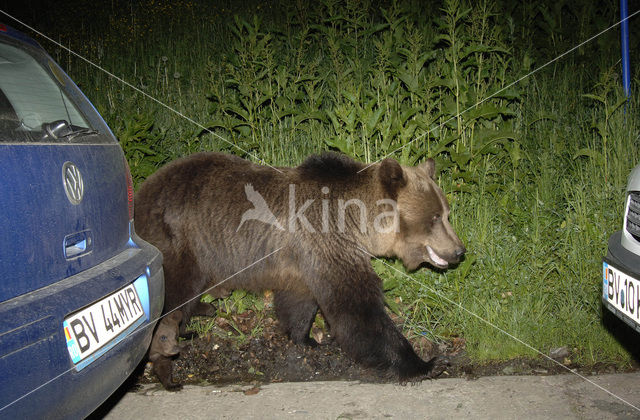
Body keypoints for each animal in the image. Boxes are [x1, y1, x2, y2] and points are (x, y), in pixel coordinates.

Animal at [135, 152, 464, 380]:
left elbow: (301, 301)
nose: (459, 251)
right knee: (175, 291)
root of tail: (142, 191)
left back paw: (192, 322)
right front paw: (428, 364)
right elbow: (357, 309)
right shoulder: (328, 240)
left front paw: (304, 338)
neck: (357, 222)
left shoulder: (305, 259)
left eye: (447, 212)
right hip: (182, 241)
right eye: (434, 217)